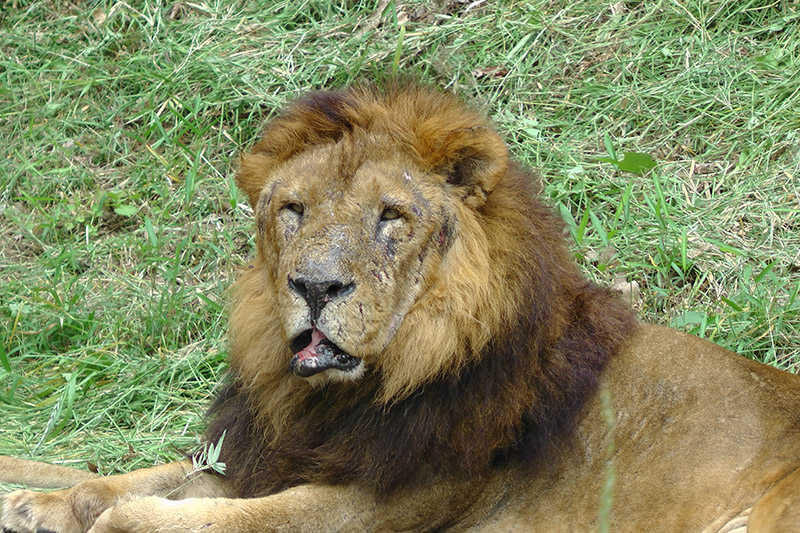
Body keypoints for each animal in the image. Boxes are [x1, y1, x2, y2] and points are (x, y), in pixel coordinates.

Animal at [1, 84, 800, 532]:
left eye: (391, 217)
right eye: (293, 210)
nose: (315, 286)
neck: (341, 397)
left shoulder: (385, 503)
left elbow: (237, 519)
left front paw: (119, 521)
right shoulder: (268, 450)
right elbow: (141, 476)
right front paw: (39, 506)